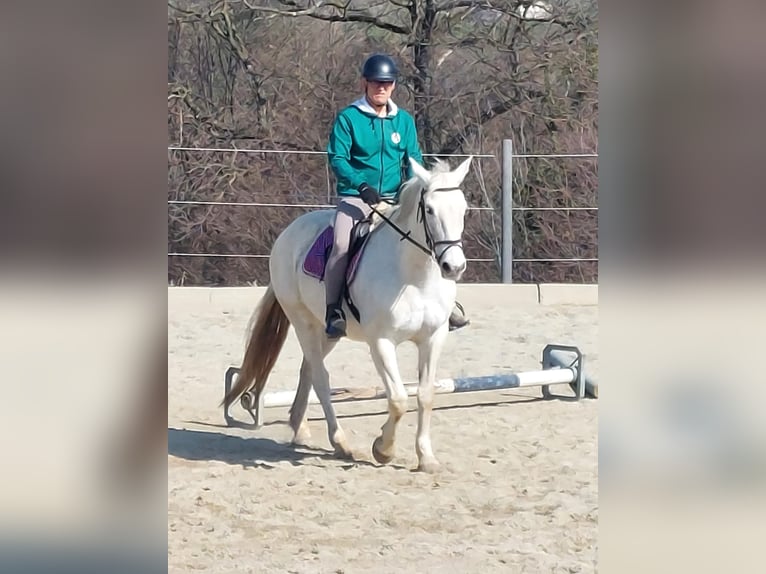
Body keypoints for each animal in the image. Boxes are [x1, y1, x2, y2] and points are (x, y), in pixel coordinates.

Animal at [223, 156, 472, 473]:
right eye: (428, 209)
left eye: (463, 208)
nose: (454, 267)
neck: (415, 277)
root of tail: (289, 232)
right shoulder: (381, 342)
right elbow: (398, 398)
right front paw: (383, 449)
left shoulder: (434, 337)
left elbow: (425, 395)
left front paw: (426, 458)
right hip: (302, 322)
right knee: (320, 377)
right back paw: (340, 442)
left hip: (328, 332)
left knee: (308, 370)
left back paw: (300, 429)